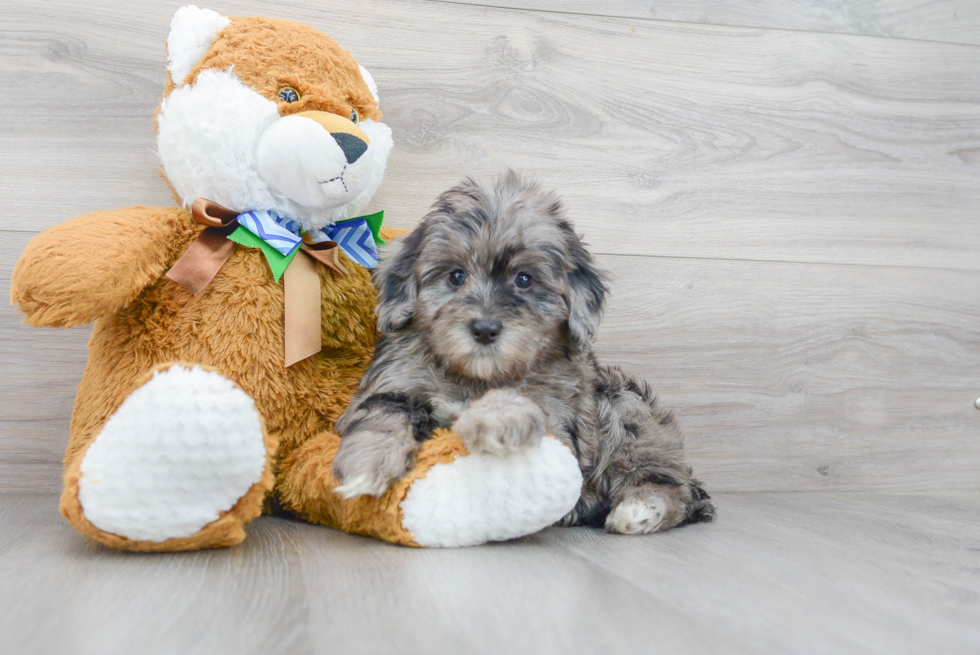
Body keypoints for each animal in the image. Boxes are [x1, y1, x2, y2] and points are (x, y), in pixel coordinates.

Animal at [334, 173, 716, 532]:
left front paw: (495, 419)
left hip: (623, 404)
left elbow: (527, 405)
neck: (477, 377)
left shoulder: (563, 428)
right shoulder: (395, 382)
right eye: (456, 276)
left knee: (671, 483)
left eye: (524, 280)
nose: (485, 329)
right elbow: (383, 413)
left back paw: (638, 510)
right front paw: (366, 464)